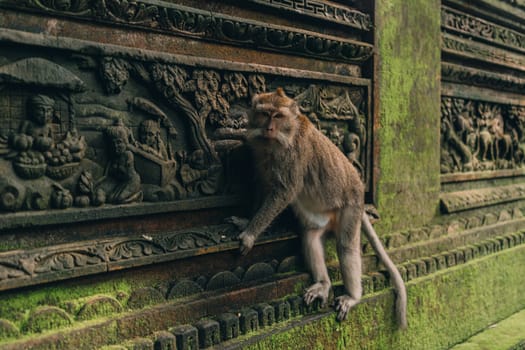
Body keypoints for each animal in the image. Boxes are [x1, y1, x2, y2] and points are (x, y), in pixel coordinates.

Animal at [237, 87, 406, 328]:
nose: (269, 128)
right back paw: (323, 284)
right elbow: (264, 185)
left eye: (277, 116)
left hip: (351, 206)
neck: (285, 134)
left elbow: (284, 191)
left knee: (346, 247)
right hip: (321, 215)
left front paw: (250, 234)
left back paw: (353, 297)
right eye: (264, 114)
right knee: (311, 238)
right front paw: (246, 220)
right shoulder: (261, 152)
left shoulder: (292, 156)